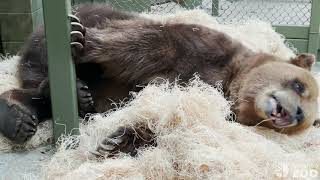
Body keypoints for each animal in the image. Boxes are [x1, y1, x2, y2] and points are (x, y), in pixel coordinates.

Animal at [0, 3, 318, 156]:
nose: (294, 113)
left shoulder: (211, 103)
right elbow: (151, 45)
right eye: (299, 84)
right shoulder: (203, 49)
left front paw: (115, 141)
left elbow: (166, 120)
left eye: (306, 119)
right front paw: (83, 41)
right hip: (65, 30)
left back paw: (24, 117)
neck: (232, 82)